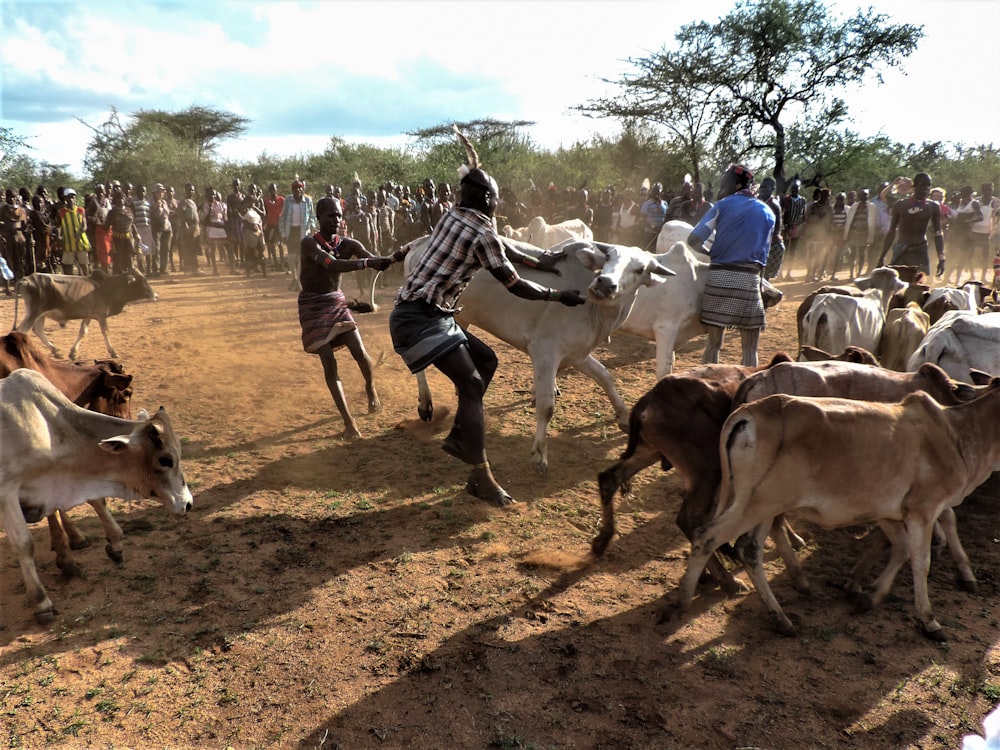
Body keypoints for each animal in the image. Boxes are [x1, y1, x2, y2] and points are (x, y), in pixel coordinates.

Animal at [0, 368, 193, 624]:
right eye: (166, 459)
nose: (187, 503)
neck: (47, 426)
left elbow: (95, 501)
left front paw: (113, 544)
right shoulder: (7, 490)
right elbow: (24, 544)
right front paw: (42, 603)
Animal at [15, 270, 157, 362]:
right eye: (141, 281)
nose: (156, 296)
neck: (108, 287)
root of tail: (25, 280)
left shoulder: (88, 315)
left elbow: (83, 332)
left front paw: (73, 353)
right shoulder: (101, 315)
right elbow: (105, 332)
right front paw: (113, 352)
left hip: (40, 315)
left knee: (37, 330)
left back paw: (56, 351)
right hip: (34, 313)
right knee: (22, 331)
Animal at [664, 384, 1000, 644]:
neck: (957, 434)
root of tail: (749, 412)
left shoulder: (889, 511)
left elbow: (901, 549)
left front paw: (867, 594)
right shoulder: (923, 509)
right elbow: (921, 561)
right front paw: (930, 621)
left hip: (762, 506)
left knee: (749, 550)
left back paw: (780, 618)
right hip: (754, 503)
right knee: (707, 536)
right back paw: (682, 602)